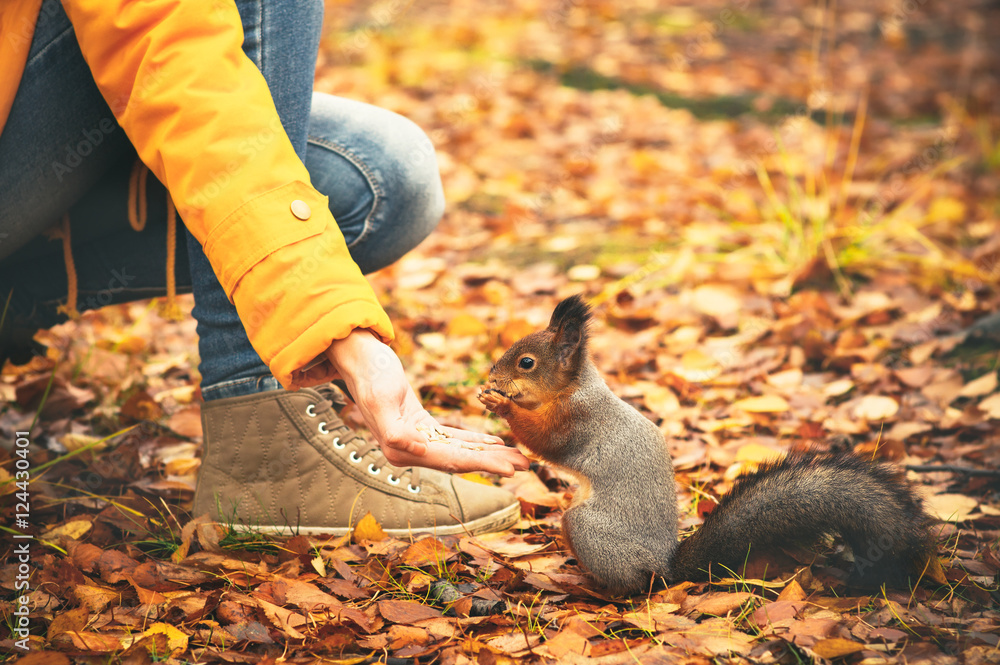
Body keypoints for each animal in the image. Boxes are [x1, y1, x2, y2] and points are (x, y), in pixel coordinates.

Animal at [480, 294, 932, 592]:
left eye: (526, 362)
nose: (491, 375)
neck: (574, 388)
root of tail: (665, 569)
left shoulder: (576, 421)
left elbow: (545, 440)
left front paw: (501, 404)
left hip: (590, 530)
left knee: (632, 587)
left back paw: (592, 588)